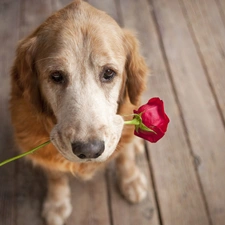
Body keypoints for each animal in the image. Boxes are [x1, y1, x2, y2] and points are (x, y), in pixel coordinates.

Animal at [9, 0, 149, 224]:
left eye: (108, 73)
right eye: (56, 76)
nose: (89, 150)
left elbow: (125, 157)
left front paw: (131, 180)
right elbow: (55, 176)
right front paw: (56, 203)